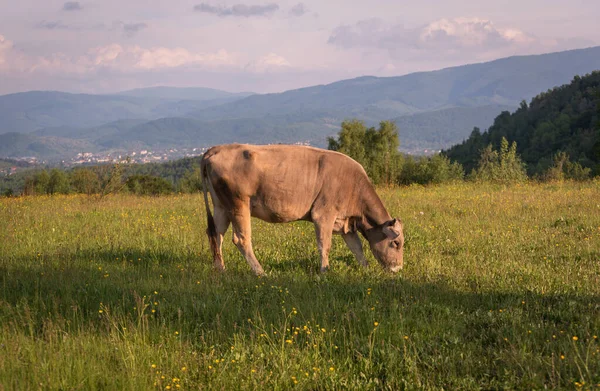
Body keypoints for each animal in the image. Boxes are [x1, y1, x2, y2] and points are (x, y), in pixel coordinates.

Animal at [200, 144, 404, 276]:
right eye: (396, 243)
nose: (398, 269)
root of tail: (215, 149)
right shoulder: (323, 214)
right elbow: (325, 245)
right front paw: (325, 271)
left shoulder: (345, 222)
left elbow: (357, 248)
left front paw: (367, 270)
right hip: (238, 203)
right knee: (241, 239)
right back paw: (261, 273)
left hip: (221, 206)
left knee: (216, 234)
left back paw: (220, 269)